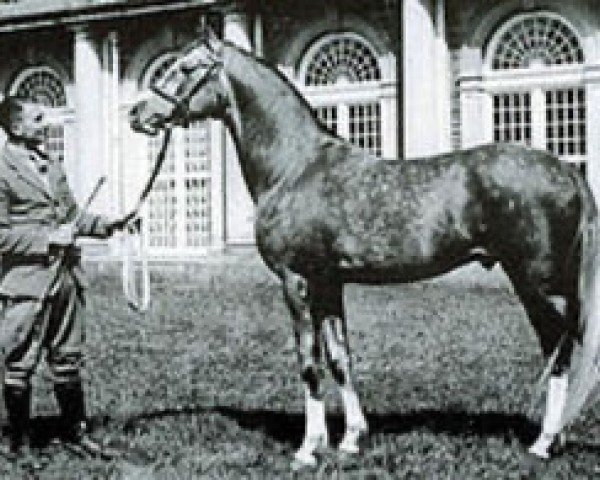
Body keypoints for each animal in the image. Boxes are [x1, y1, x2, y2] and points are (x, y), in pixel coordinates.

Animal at [129, 30, 600, 468]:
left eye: (186, 68)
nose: (138, 114)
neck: (294, 165)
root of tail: (566, 171)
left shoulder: (296, 282)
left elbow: (309, 362)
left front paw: (308, 448)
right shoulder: (328, 283)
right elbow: (341, 358)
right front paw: (351, 439)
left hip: (535, 282)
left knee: (558, 347)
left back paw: (544, 443)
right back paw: (552, 437)